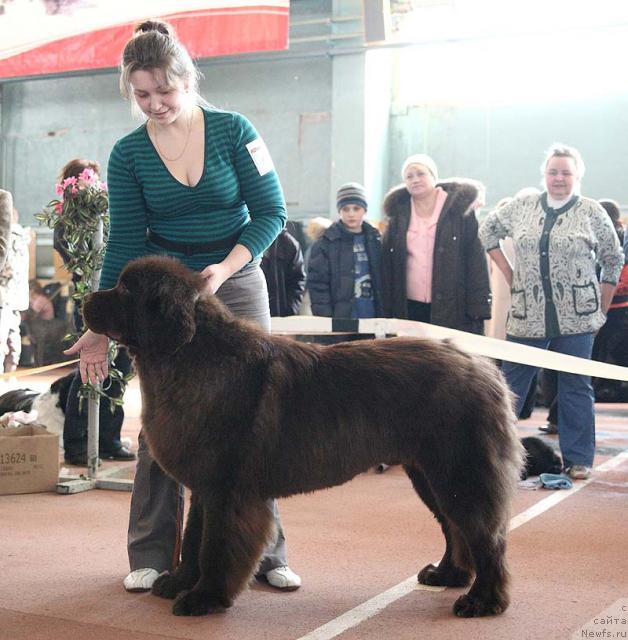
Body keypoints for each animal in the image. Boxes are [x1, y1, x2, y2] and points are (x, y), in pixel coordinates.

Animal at [84, 258, 524, 616]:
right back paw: (447, 575)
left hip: (460, 473)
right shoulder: (205, 487)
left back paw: (483, 601)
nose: (86, 298)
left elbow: (216, 545)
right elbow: (193, 539)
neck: (189, 356)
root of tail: (485, 367)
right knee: (454, 527)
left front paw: (205, 598)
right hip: (429, 475)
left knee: (486, 537)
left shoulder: (228, 490)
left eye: (127, 290)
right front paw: (179, 582)